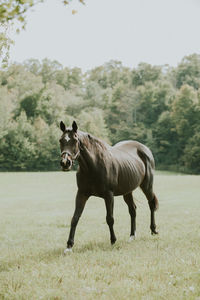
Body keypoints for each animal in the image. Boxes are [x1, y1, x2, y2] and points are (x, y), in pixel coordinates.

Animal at [58, 120, 159, 252]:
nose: (65, 163)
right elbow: (75, 218)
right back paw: (132, 236)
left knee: (151, 204)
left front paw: (113, 241)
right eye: (61, 140)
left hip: (147, 186)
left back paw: (153, 229)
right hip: (127, 191)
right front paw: (69, 246)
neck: (93, 166)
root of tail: (145, 149)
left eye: (75, 140)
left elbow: (110, 218)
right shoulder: (81, 194)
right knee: (132, 210)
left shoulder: (108, 195)